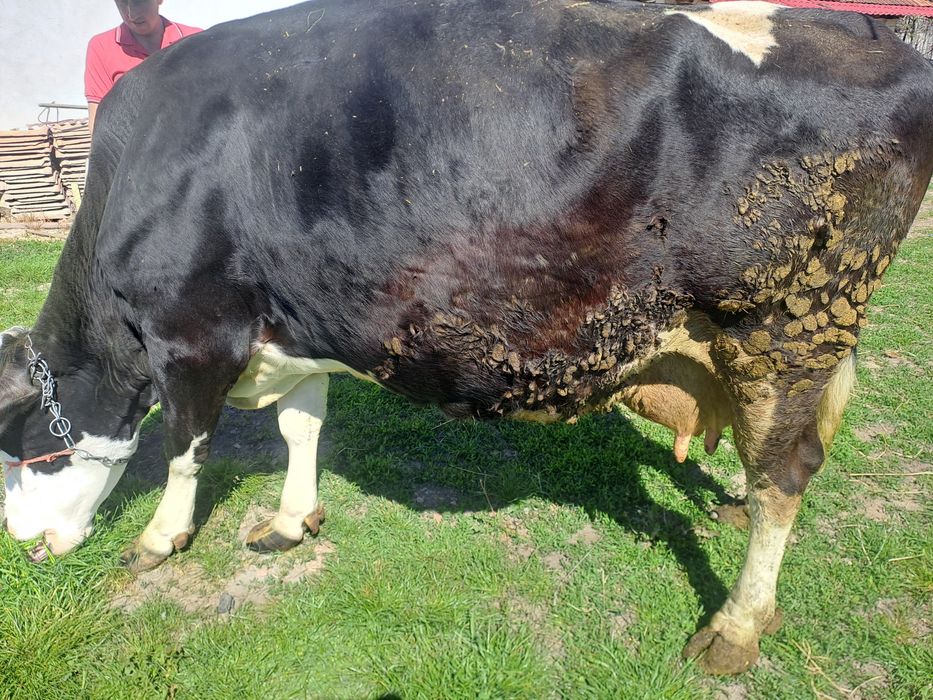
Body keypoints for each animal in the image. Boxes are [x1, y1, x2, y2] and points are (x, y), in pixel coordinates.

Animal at [2, 0, 932, 675]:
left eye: (19, 446)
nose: (22, 546)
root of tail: (871, 32)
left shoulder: (190, 332)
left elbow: (185, 446)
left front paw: (158, 540)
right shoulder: (292, 322)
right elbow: (302, 425)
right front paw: (291, 519)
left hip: (784, 322)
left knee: (786, 474)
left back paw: (733, 630)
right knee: (771, 461)